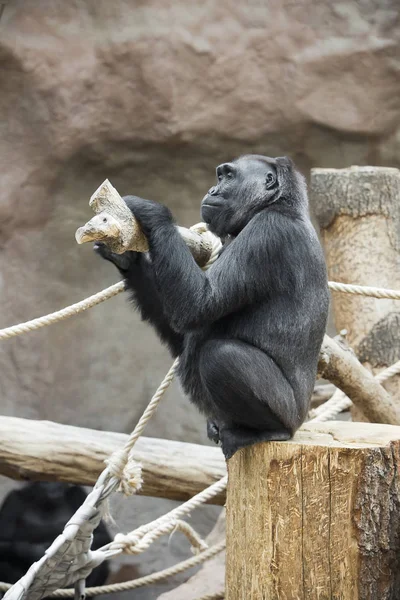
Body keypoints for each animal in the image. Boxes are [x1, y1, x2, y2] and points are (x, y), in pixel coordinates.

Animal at [95, 155, 330, 460]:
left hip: (291, 415)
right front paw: (126, 257)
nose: (211, 190)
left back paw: (268, 430)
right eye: (219, 176)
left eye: (227, 177)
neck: (279, 203)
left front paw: (153, 213)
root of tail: (301, 421)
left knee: (221, 356)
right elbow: (183, 331)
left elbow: (199, 304)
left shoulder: (268, 231)